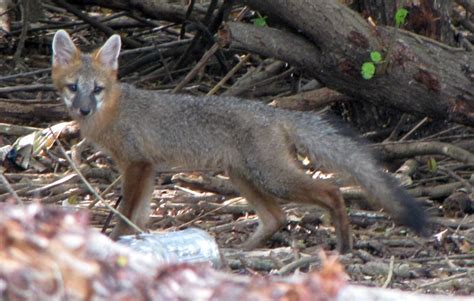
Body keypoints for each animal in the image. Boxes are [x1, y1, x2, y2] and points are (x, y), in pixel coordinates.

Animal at [51, 30, 426, 252]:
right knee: (277, 218)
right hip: (242, 176)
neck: (113, 112)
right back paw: (242, 251)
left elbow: (126, 213)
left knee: (331, 191)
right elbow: (139, 217)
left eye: (97, 89)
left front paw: (116, 243)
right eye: (73, 87)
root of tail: (273, 111)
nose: (83, 109)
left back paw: (344, 246)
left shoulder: (137, 164)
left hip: (271, 177)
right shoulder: (147, 168)